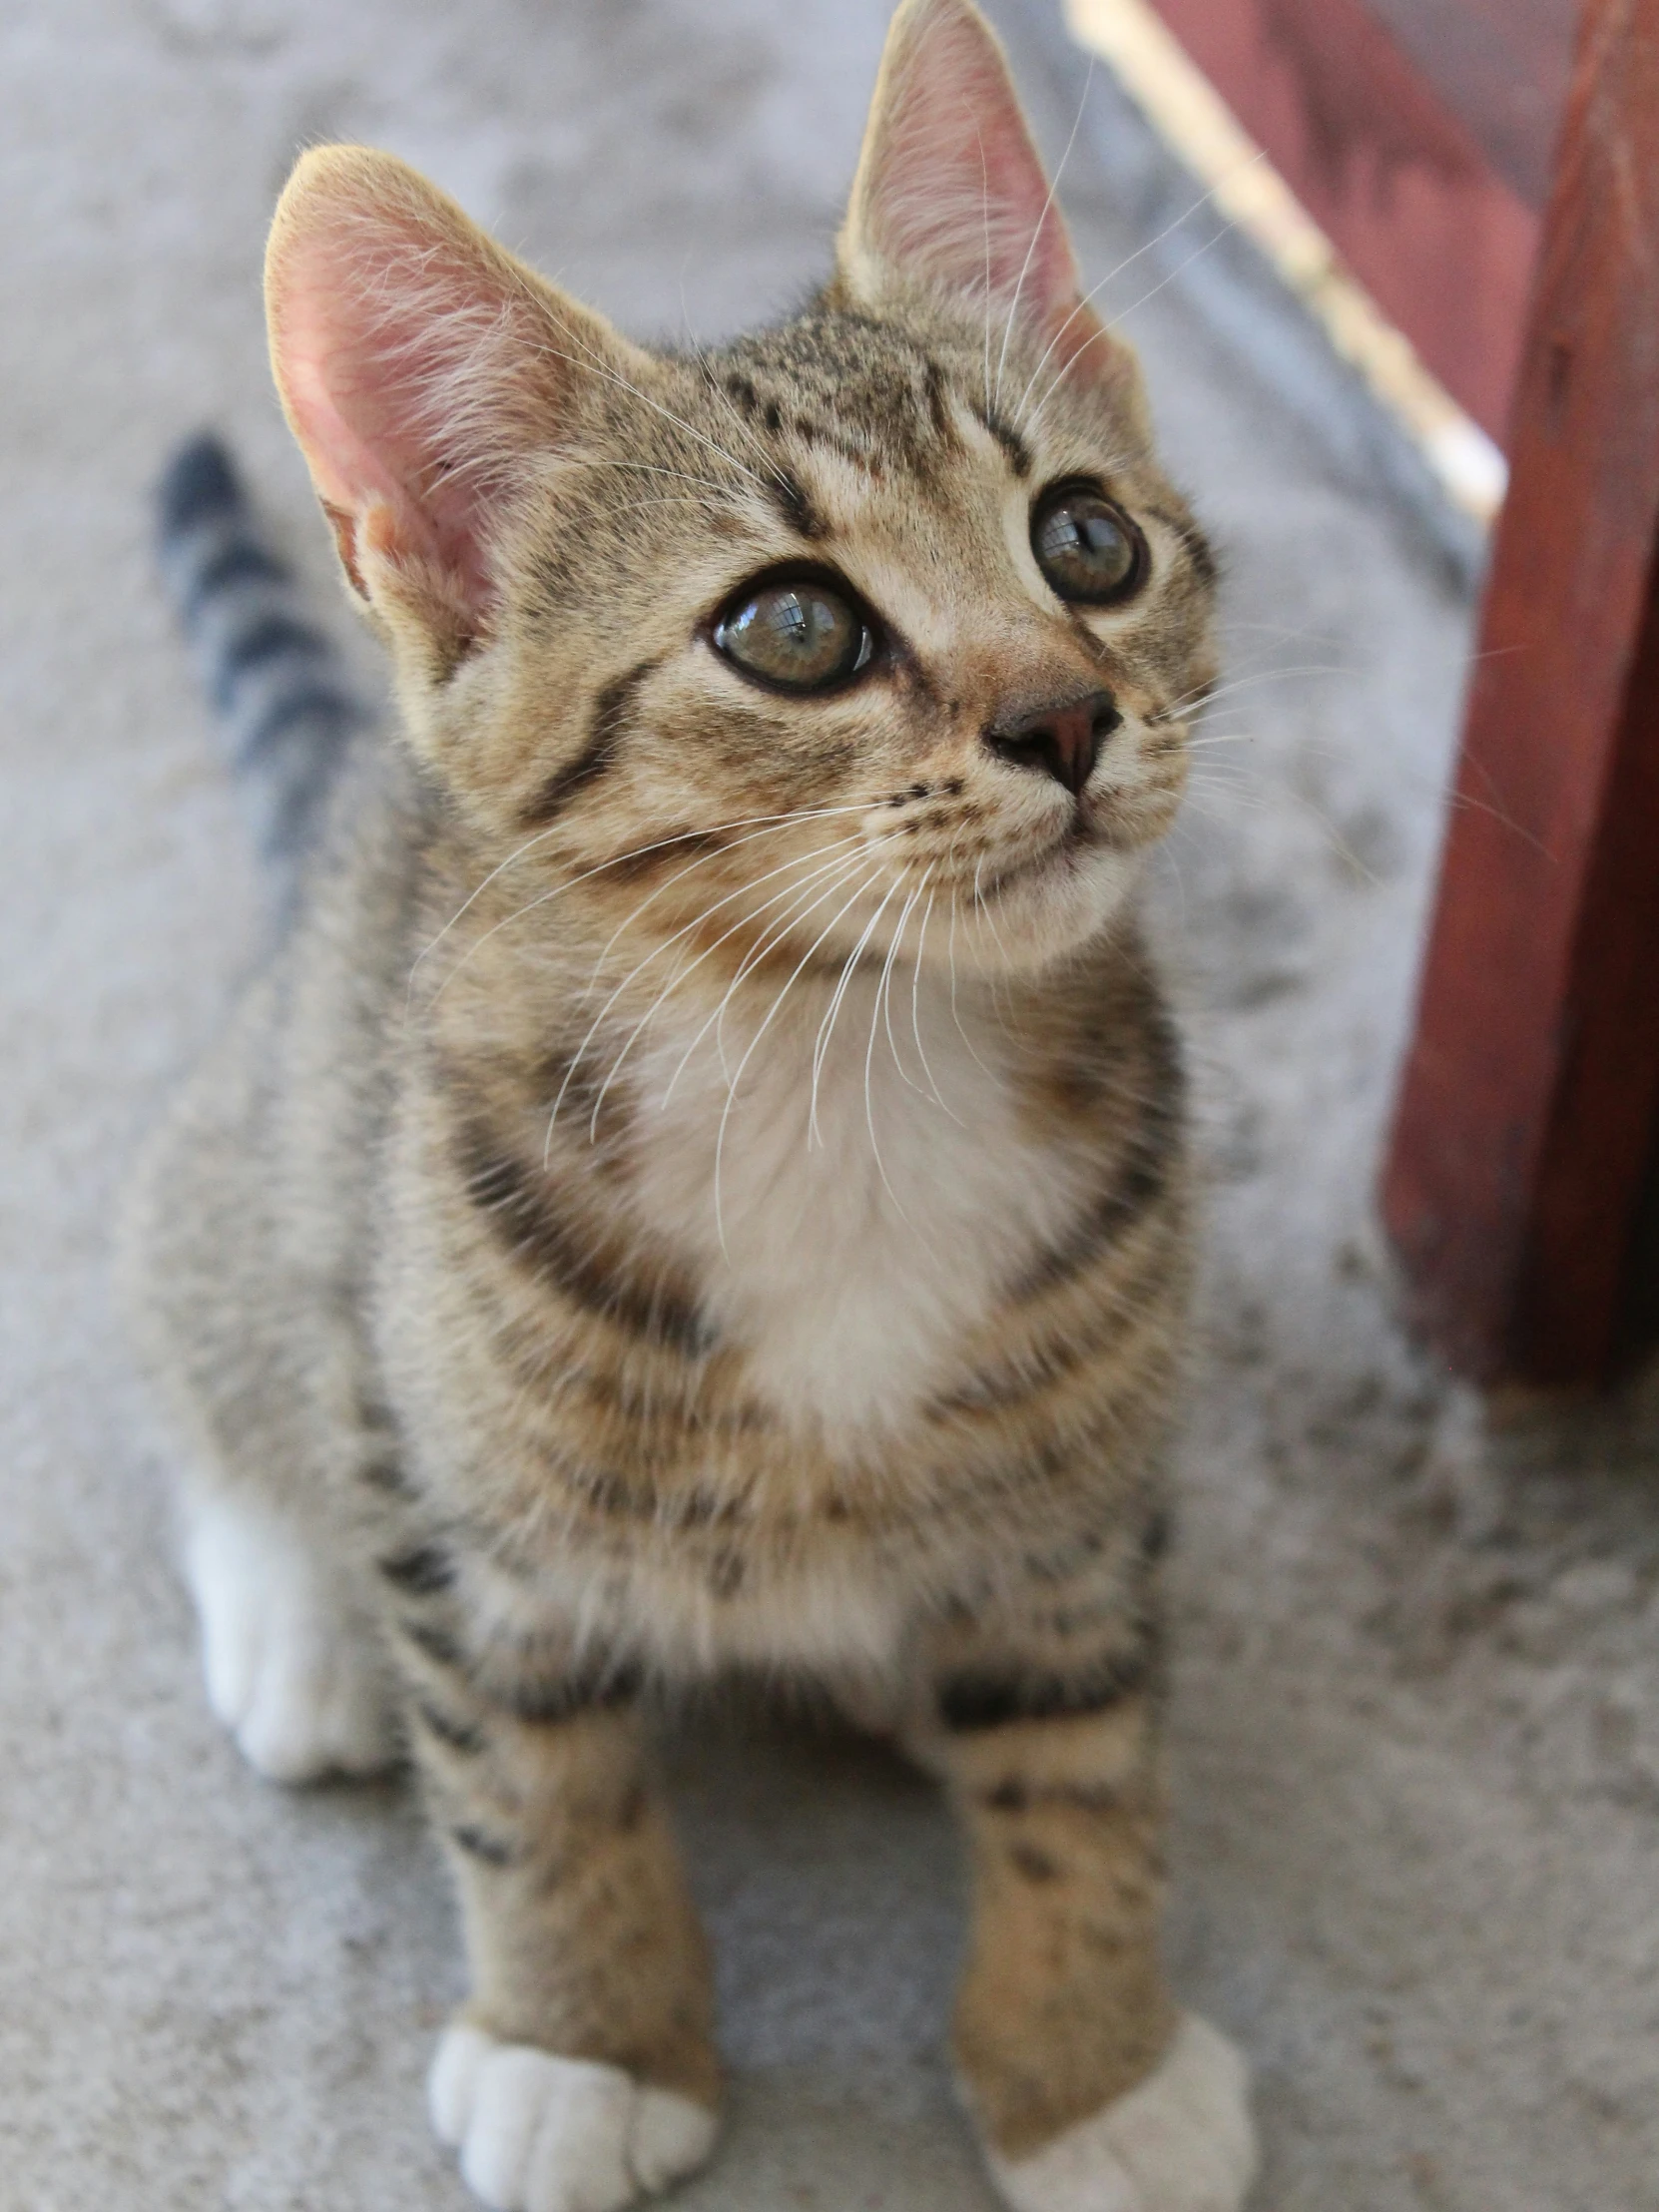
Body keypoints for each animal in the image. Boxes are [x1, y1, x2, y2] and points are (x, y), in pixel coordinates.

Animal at [120, 4, 1256, 2212]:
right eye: (791, 628)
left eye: (1088, 538)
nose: (1069, 713)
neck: (842, 1066)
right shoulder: (468, 1484)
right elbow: (529, 1775)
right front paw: (586, 2037)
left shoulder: (1080, 1503)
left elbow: (1087, 1757)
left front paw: (1088, 2059)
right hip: (283, 1146)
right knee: (225, 1313)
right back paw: (300, 1619)